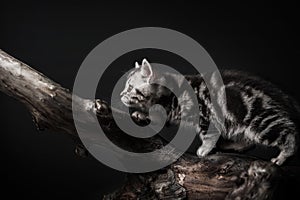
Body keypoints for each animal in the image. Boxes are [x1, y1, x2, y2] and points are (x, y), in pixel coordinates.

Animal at [119, 58, 298, 165]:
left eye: (130, 87)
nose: (120, 94)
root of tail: (285, 98)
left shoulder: (206, 114)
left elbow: (209, 135)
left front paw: (205, 148)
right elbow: (157, 117)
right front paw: (142, 114)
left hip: (262, 122)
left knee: (290, 136)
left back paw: (282, 156)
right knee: (249, 140)